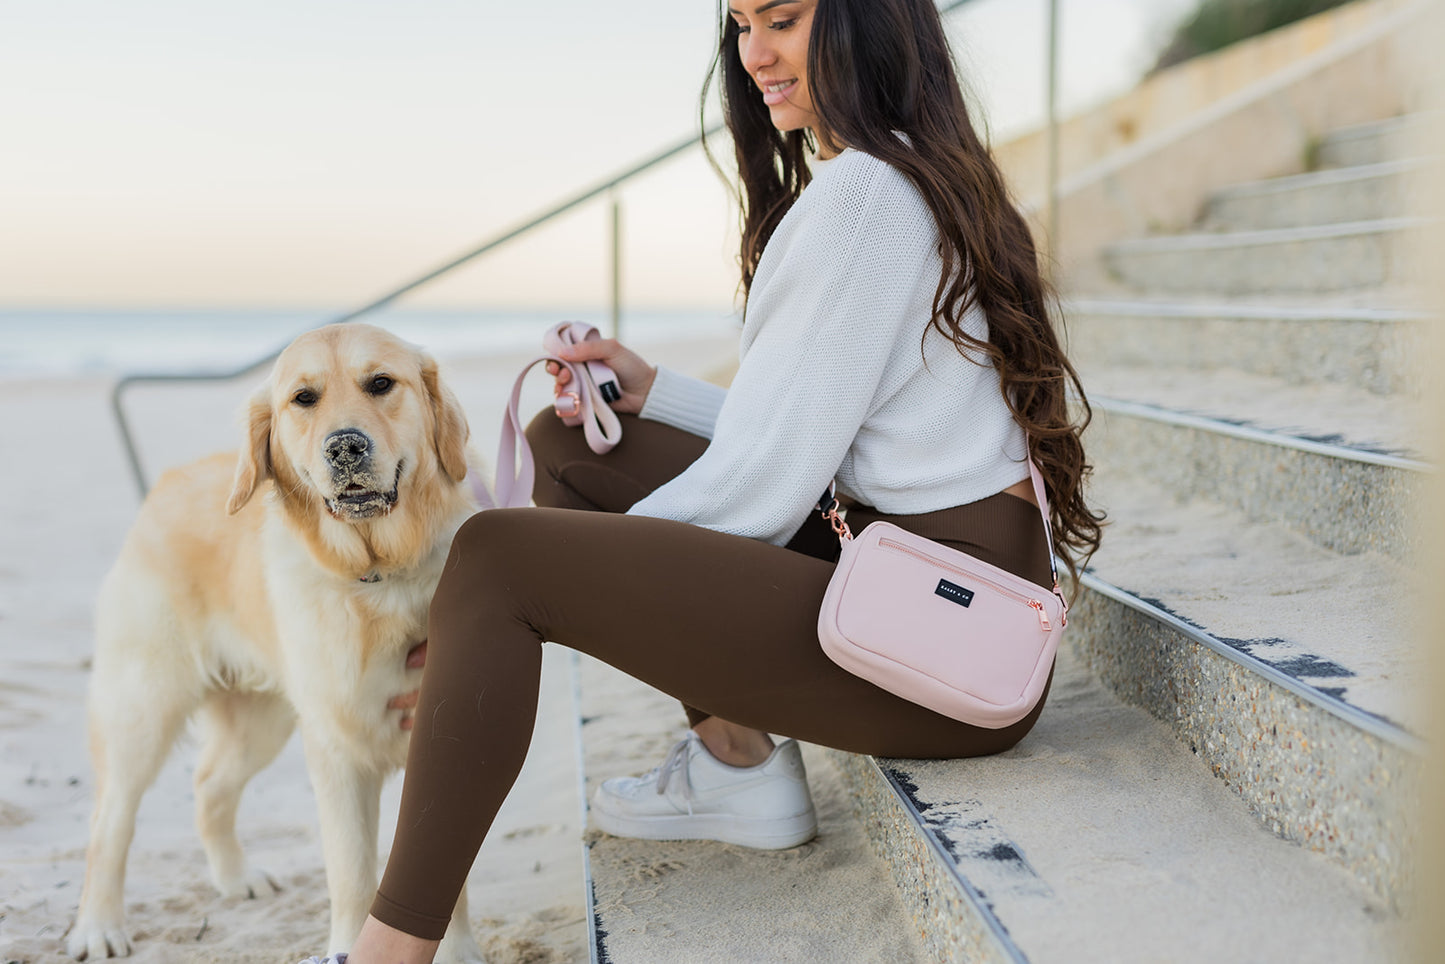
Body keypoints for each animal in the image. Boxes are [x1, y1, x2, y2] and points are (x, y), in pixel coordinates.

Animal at [68, 326, 485, 964]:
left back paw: (236, 878)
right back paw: (98, 925)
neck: (379, 574)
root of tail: (167, 481)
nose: (345, 447)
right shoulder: (336, 748)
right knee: (108, 823)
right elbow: (352, 874)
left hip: (260, 723)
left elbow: (443, 874)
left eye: (381, 384)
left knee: (208, 787)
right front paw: (347, 945)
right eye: (303, 399)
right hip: (143, 710)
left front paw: (460, 952)